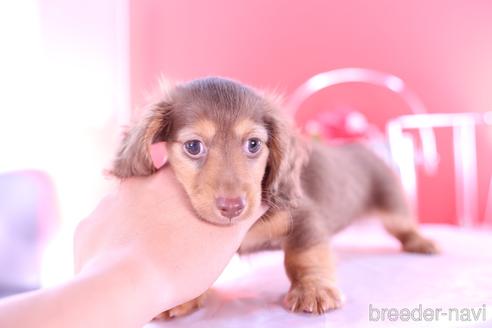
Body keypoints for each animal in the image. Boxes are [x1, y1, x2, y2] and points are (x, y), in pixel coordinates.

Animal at [112, 76, 438, 318]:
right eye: (193, 146)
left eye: (254, 144)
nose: (232, 207)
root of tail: (362, 148)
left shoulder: (304, 217)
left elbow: (304, 255)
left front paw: (313, 288)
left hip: (393, 204)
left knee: (404, 226)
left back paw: (422, 242)